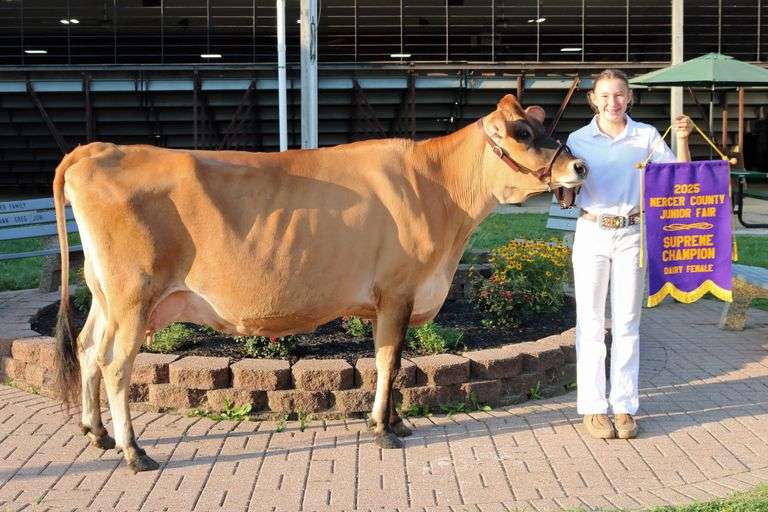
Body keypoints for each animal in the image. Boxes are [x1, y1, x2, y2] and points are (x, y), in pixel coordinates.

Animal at [53, 94, 586, 473]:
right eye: (523, 131)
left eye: (542, 126)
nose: (579, 166)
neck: (439, 191)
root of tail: (96, 150)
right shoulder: (397, 292)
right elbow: (391, 362)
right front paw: (383, 429)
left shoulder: (388, 300)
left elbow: (387, 361)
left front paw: (394, 421)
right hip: (133, 296)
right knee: (116, 365)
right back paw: (133, 452)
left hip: (104, 294)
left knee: (87, 349)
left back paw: (96, 432)